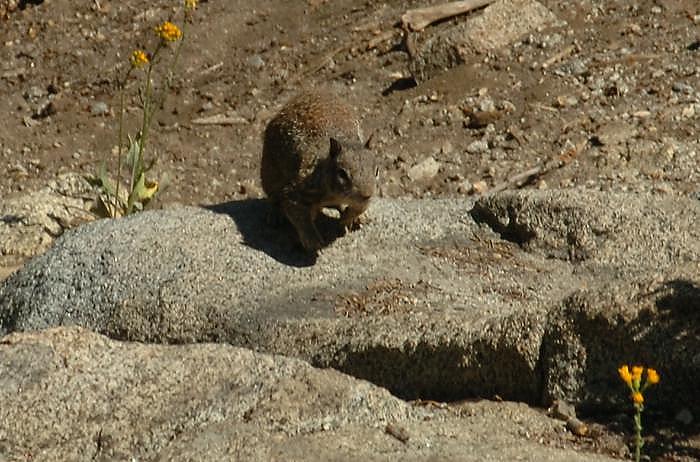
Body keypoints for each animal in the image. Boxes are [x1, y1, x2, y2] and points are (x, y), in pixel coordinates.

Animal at [260, 89, 378, 251]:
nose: (367, 194)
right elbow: (298, 214)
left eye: (376, 170)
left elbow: (359, 208)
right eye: (342, 174)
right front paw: (312, 239)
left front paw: (348, 219)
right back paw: (275, 214)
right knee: (273, 197)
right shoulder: (297, 189)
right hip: (269, 174)